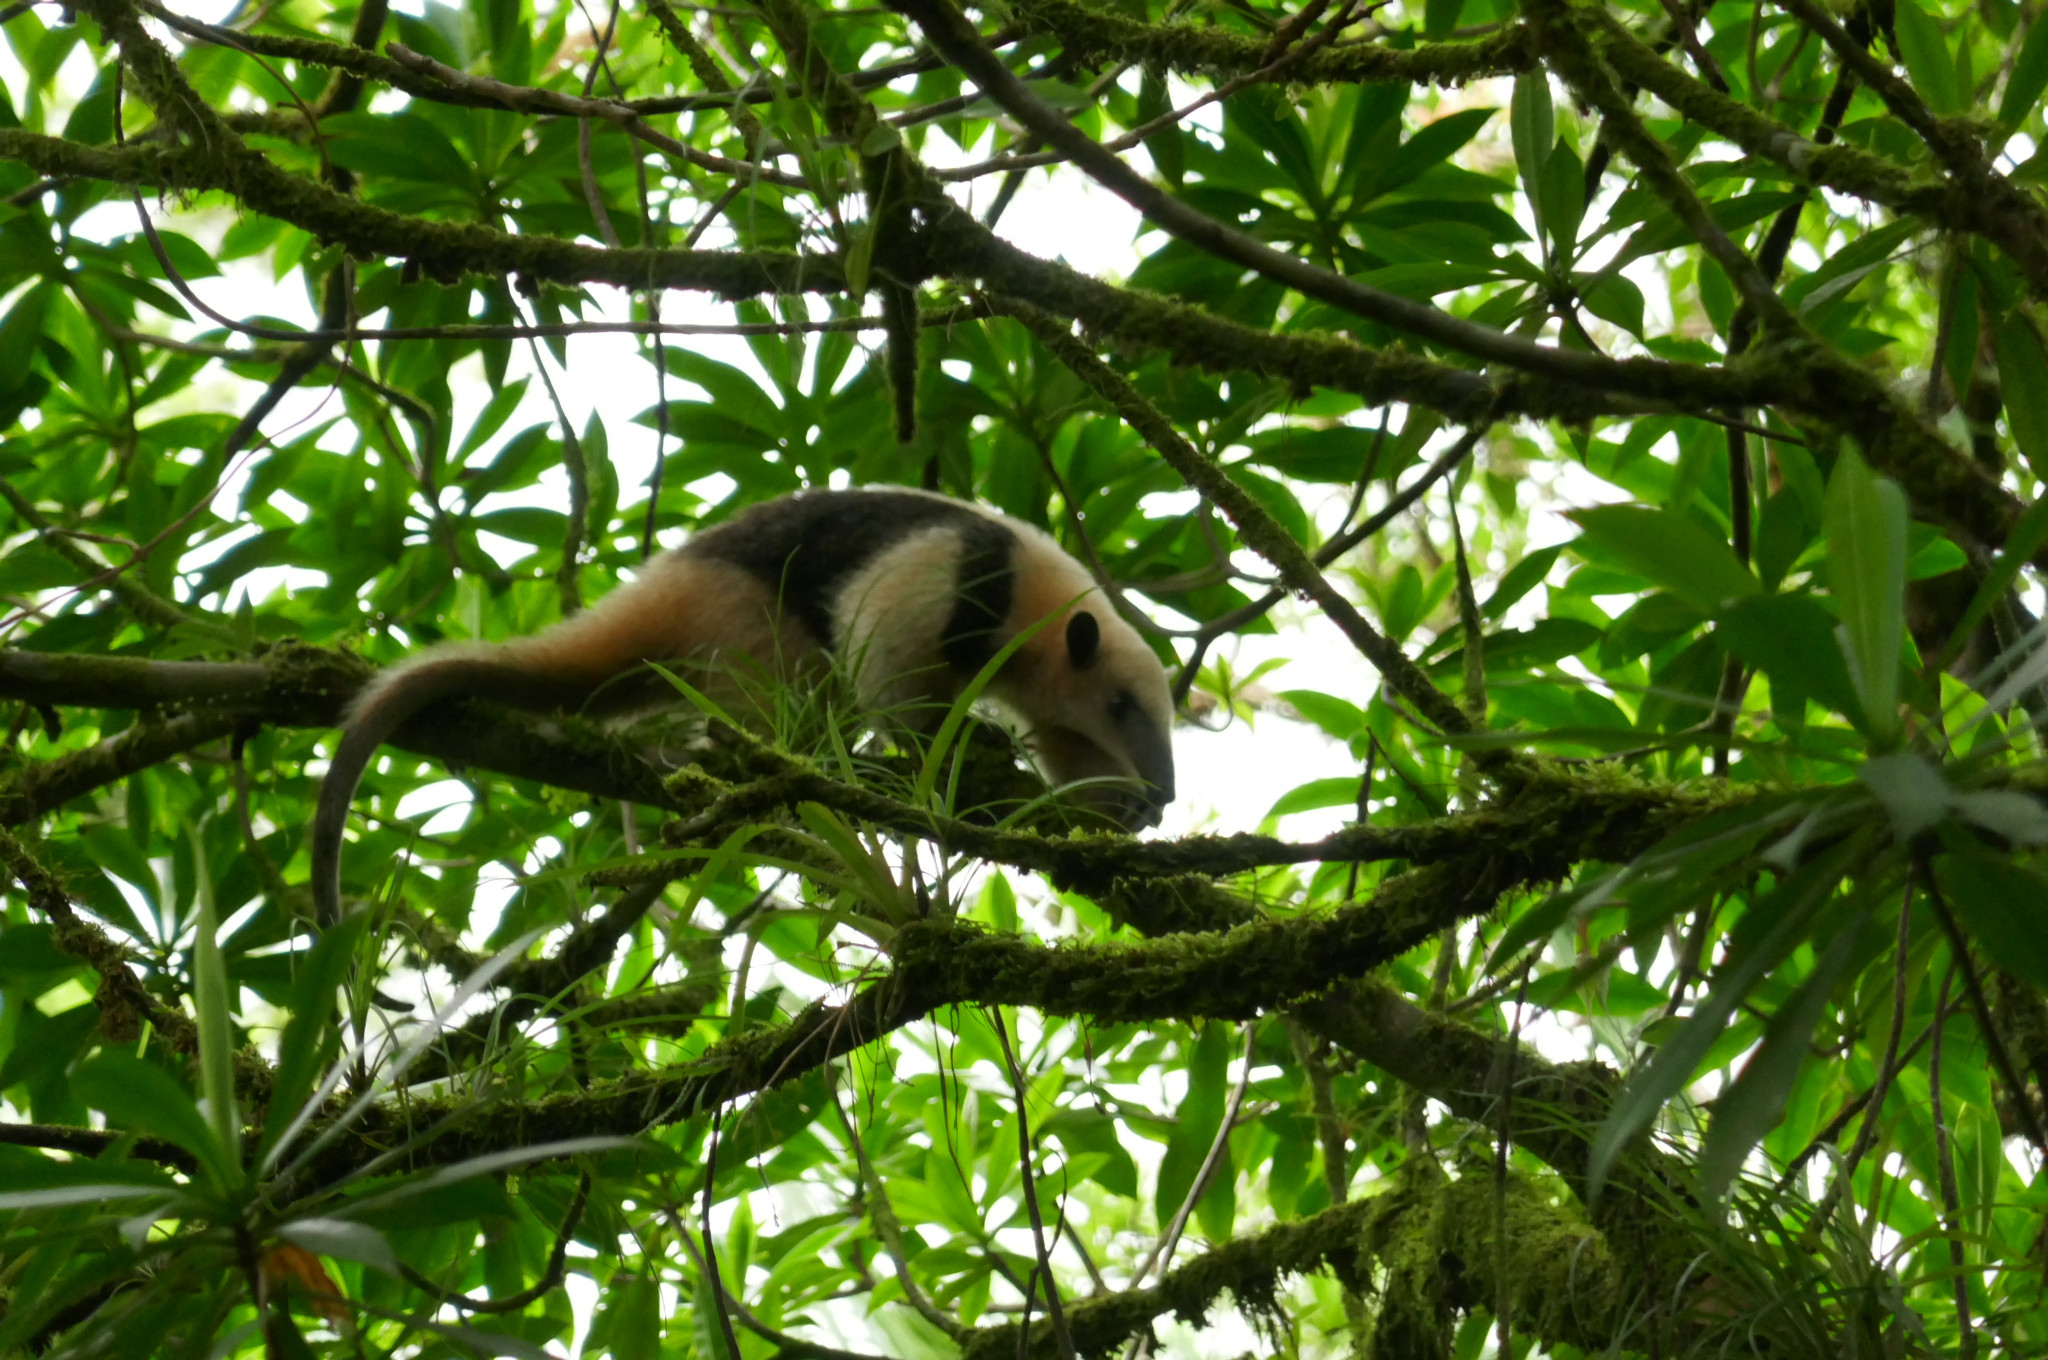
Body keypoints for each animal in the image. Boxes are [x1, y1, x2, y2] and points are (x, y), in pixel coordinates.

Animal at [312, 486, 1178, 926]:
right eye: (1122, 704)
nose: (1165, 795)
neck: (1038, 601)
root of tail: (667, 583)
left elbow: (1064, 749)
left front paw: (1114, 808)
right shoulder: (955, 576)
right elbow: (882, 642)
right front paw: (956, 739)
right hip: (740, 613)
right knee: (790, 685)